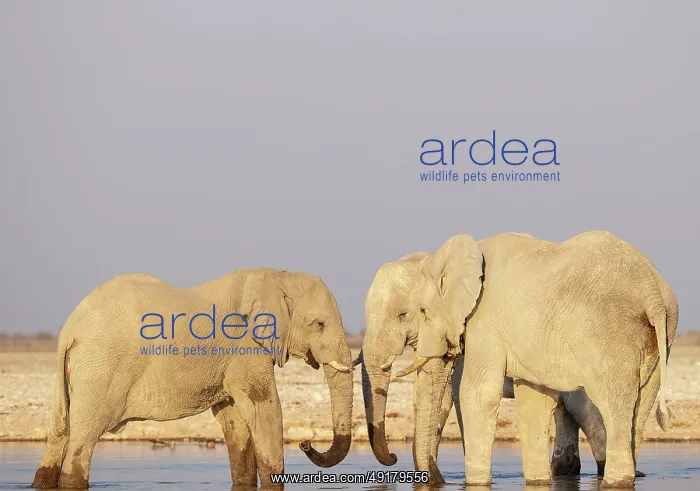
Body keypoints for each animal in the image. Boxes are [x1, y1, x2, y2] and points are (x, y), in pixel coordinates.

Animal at [31, 268, 354, 489]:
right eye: (319, 324)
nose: (306, 444)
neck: (277, 276)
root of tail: (70, 329)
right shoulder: (244, 347)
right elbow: (265, 407)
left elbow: (235, 419)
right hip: (101, 370)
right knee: (83, 440)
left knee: (59, 433)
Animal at [359, 231, 677, 488]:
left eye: (407, 314)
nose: (394, 457)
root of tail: (653, 293)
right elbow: (533, 400)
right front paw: (537, 481)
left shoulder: (484, 321)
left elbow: (475, 394)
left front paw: (475, 483)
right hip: (659, 338)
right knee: (637, 408)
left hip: (605, 336)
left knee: (606, 405)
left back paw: (614, 479)